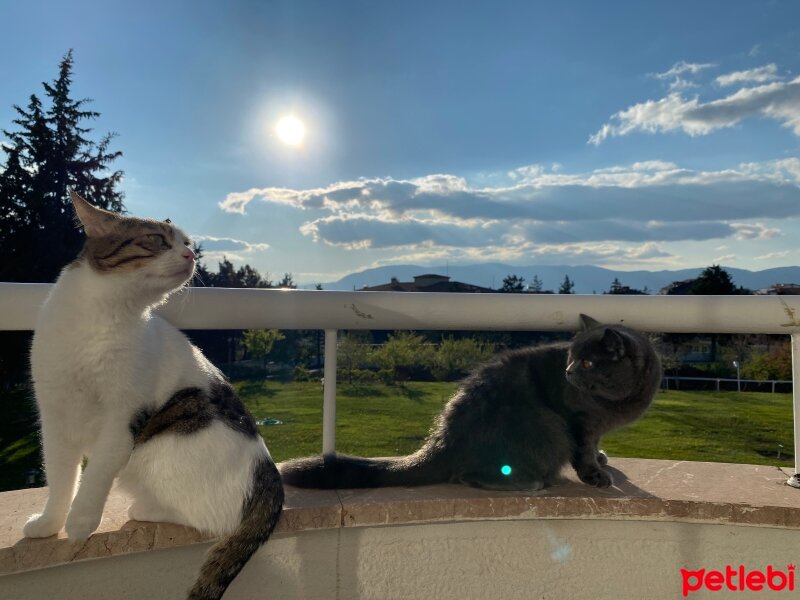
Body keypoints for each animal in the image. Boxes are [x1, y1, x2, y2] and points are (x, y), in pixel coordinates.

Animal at [25, 193, 282, 600]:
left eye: (187, 243)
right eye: (157, 240)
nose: (190, 255)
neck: (104, 317)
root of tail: (271, 480)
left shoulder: (124, 416)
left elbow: (96, 473)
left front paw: (81, 522)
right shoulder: (54, 415)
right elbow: (60, 477)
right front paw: (50, 523)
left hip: (163, 448)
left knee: (212, 518)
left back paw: (144, 509)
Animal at [282, 316, 664, 490]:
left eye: (586, 362)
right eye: (572, 359)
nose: (568, 372)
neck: (619, 403)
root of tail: (444, 442)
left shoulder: (595, 427)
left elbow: (595, 446)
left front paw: (602, 458)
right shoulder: (579, 421)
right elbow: (583, 451)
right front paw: (595, 475)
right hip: (548, 426)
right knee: (468, 475)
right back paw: (529, 482)